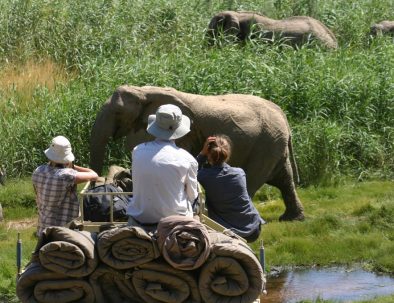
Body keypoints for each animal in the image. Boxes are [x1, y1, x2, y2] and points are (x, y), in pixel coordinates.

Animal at [90, 84, 304, 222]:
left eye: (118, 112)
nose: (95, 189)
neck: (143, 91)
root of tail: (283, 116)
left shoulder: (185, 133)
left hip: (266, 144)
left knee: (252, 179)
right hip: (274, 142)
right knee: (283, 179)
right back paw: (291, 219)